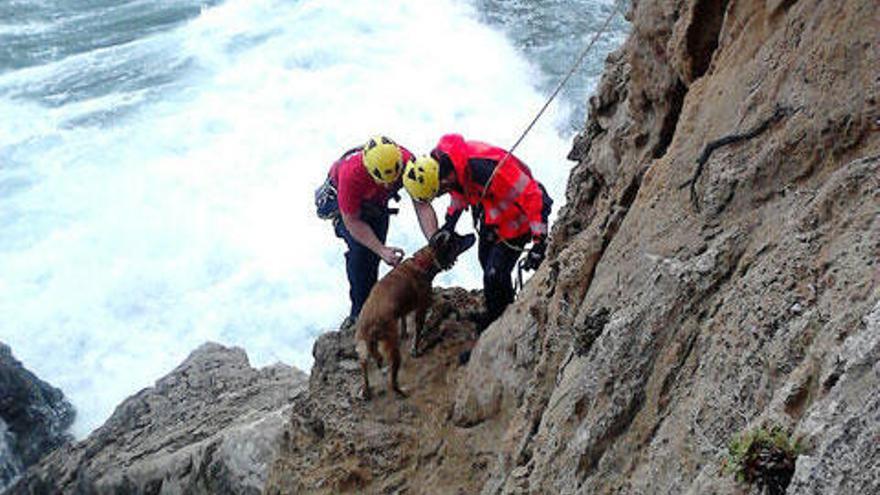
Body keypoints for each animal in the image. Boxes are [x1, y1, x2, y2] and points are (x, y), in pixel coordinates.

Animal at [354, 231, 474, 402]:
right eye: (458, 241)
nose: (473, 235)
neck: (423, 262)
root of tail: (368, 326)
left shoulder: (406, 307)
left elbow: (404, 319)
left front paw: (405, 333)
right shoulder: (422, 306)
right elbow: (418, 330)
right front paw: (415, 349)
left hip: (363, 348)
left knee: (364, 367)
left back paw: (366, 390)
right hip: (392, 349)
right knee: (392, 382)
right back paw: (401, 391)